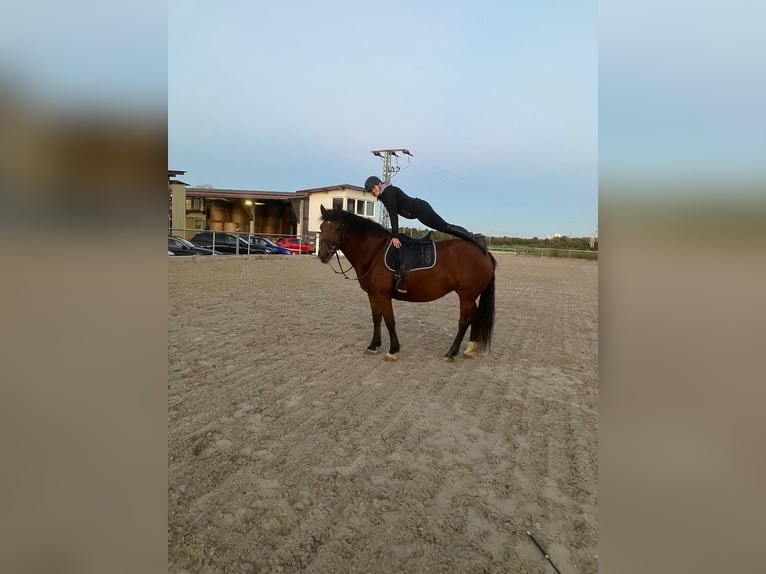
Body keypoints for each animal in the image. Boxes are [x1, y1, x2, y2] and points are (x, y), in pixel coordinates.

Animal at [318, 205, 496, 362]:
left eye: (338, 229)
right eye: (321, 228)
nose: (322, 255)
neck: (375, 252)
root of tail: (484, 254)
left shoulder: (383, 296)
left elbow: (390, 321)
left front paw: (392, 350)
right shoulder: (373, 295)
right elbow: (376, 319)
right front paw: (374, 346)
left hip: (466, 297)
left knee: (463, 322)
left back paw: (451, 353)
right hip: (469, 297)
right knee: (474, 317)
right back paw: (470, 348)